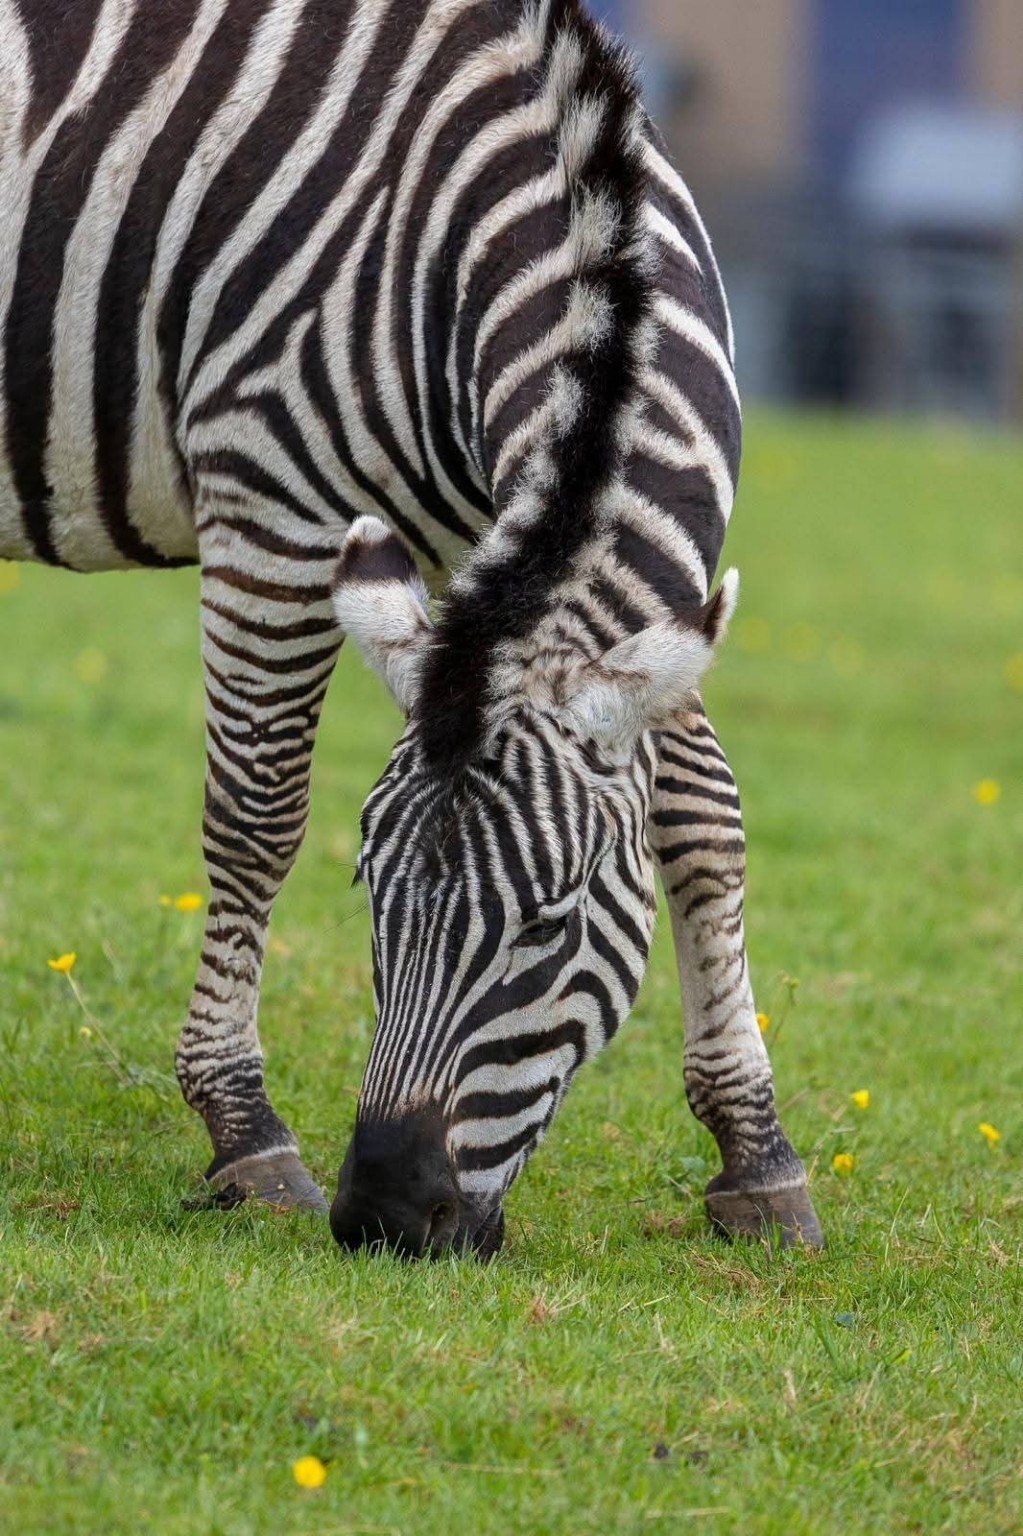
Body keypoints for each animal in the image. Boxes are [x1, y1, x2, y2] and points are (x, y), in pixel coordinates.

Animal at [1, 0, 823, 1256]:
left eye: (550, 926)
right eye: (371, 899)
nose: (386, 1215)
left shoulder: (580, 597)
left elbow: (704, 823)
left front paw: (755, 1153)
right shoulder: (273, 500)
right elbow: (256, 818)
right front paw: (243, 1133)